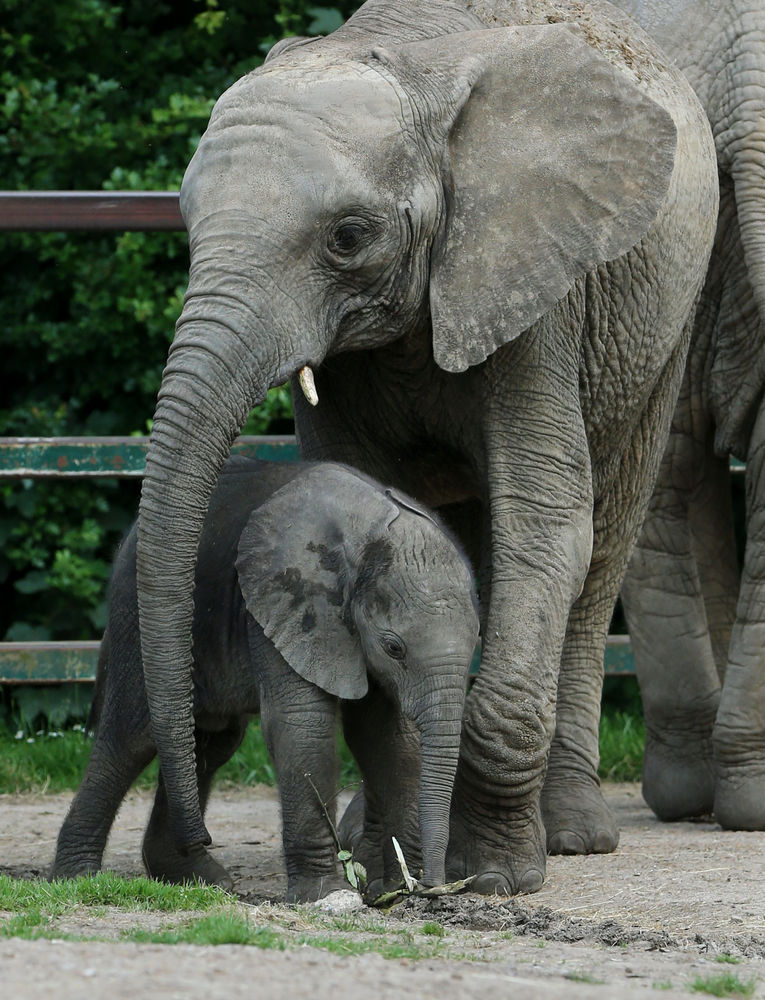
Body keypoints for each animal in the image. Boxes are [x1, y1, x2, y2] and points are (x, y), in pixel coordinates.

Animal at [50, 458, 478, 904]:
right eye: (394, 647)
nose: (432, 886)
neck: (368, 530)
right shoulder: (287, 602)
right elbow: (303, 725)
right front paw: (326, 895)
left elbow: (385, 735)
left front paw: (390, 889)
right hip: (135, 614)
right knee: (132, 738)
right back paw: (77, 879)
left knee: (212, 741)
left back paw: (200, 877)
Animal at [136, 0, 716, 896]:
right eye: (190, 226)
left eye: (347, 236)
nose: (201, 856)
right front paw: (394, 858)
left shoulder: (534, 281)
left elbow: (546, 528)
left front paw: (495, 876)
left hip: (666, 314)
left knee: (605, 541)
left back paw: (572, 835)